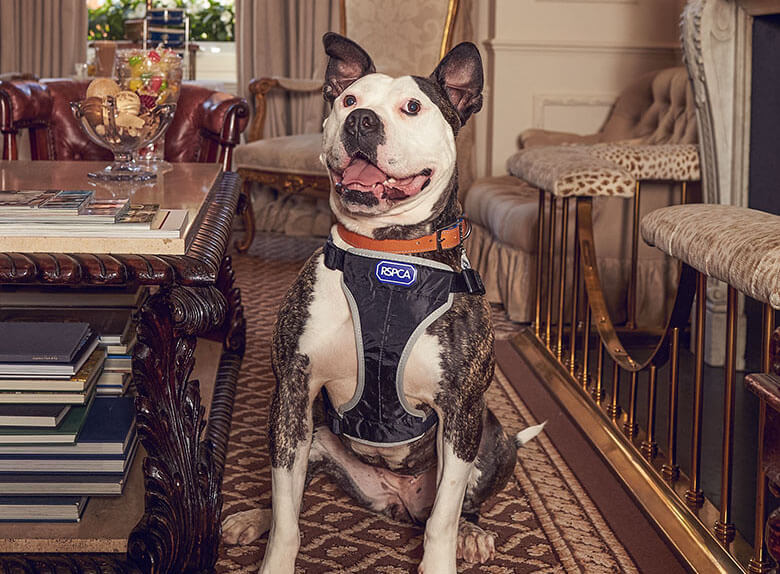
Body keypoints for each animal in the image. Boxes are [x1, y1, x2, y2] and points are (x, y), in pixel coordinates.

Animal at [222, 32, 544, 574]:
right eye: (349, 100)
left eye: (412, 107)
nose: (361, 121)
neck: (385, 256)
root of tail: (396, 498)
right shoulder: (292, 393)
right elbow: (288, 515)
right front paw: (274, 554)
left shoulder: (461, 411)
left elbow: (443, 518)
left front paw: (442, 558)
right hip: (314, 436)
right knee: (291, 492)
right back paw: (253, 517)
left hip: (493, 438)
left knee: (461, 505)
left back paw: (472, 534)